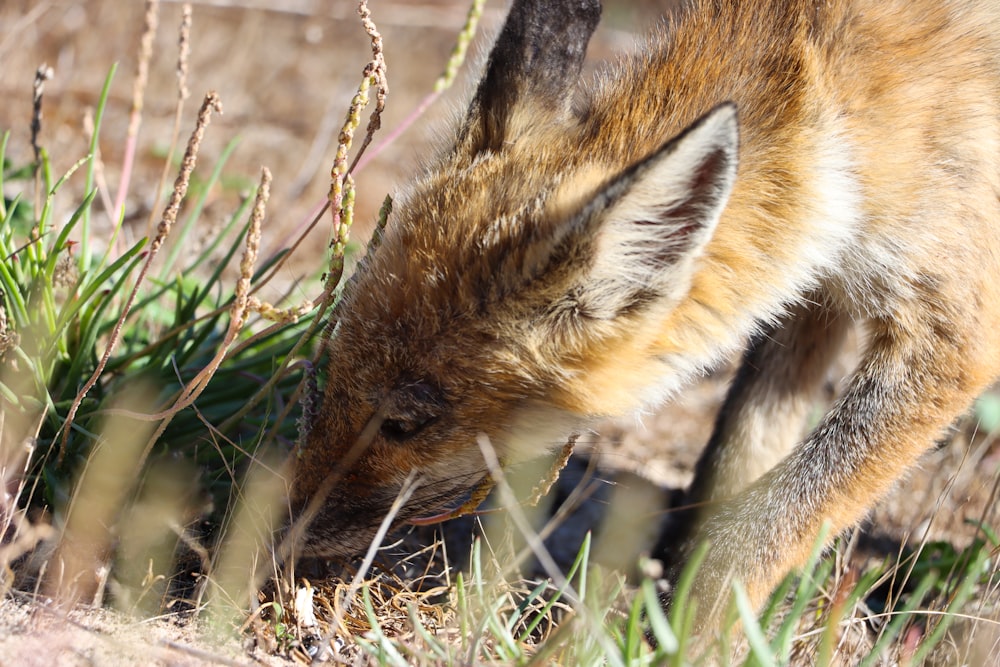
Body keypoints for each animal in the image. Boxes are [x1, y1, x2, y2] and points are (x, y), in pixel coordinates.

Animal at [286, 0, 1000, 628]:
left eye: (404, 424)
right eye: (333, 370)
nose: (276, 528)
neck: (844, 107)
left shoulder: (951, 333)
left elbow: (763, 524)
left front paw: (687, 636)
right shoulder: (816, 289)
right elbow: (736, 460)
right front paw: (671, 600)